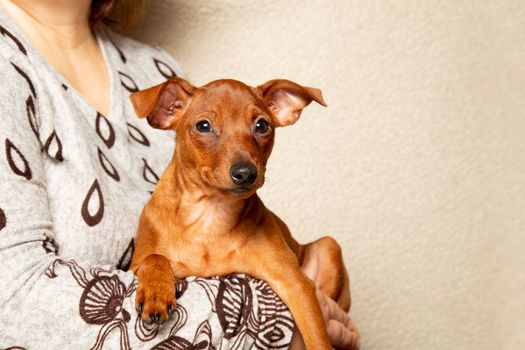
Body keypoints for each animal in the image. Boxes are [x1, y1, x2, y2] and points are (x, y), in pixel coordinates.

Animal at [129, 77, 350, 350]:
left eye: (261, 125)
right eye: (203, 126)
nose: (245, 173)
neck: (209, 215)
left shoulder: (296, 285)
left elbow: (318, 338)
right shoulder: (135, 264)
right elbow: (155, 258)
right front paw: (156, 292)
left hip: (329, 246)